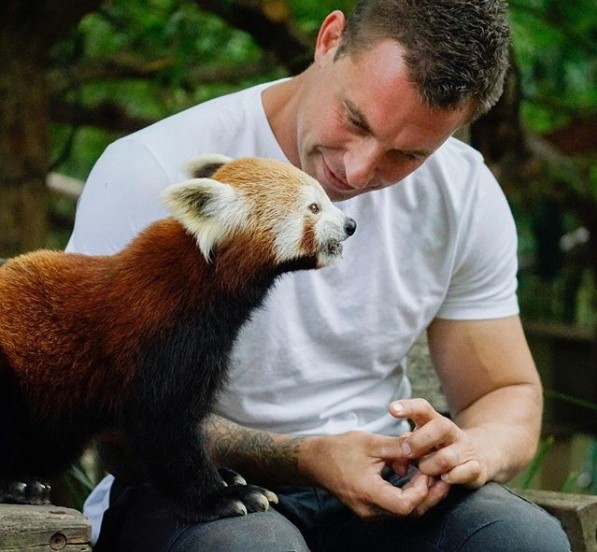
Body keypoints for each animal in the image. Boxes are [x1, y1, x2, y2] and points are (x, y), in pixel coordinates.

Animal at [0, 154, 354, 520]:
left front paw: (227, 477)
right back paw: (15, 485)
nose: (350, 224)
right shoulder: (161, 339)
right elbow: (164, 428)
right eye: (314, 207)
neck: (206, 280)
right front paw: (220, 496)